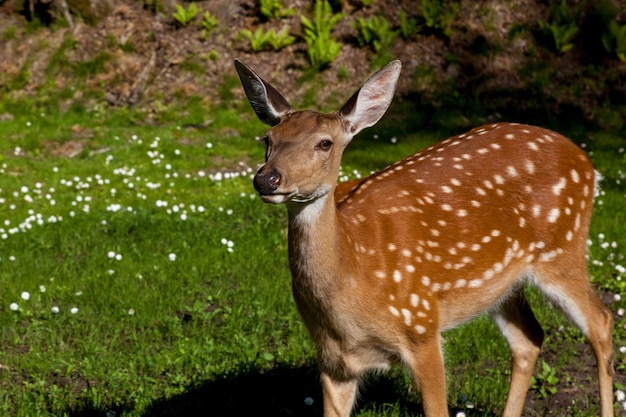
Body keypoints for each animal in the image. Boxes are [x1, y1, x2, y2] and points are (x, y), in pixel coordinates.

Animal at [232, 59, 612, 416]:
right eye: (267, 140)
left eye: (325, 143)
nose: (266, 179)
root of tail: (585, 160)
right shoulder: (333, 360)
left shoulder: (423, 327)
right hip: (502, 284)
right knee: (529, 338)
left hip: (562, 248)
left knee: (601, 323)